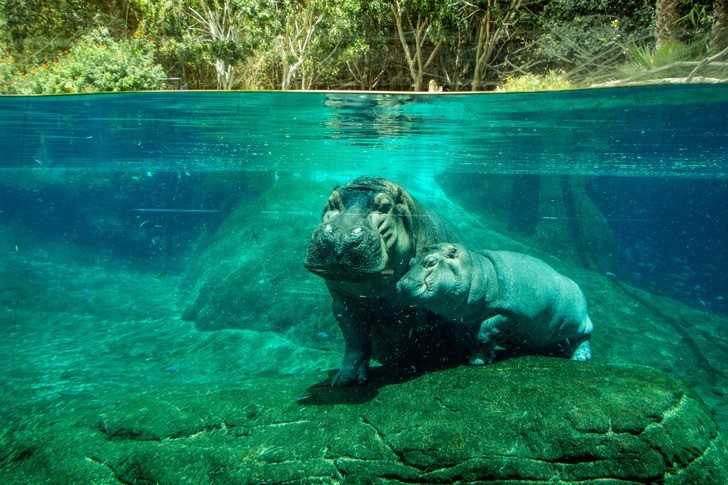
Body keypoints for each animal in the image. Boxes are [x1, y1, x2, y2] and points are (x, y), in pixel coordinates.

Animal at [304, 176, 464, 384]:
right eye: (332, 202)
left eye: (385, 206)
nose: (341, 236)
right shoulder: (342, 303)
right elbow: (355, 341)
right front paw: (345, 379)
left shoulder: (421, 308)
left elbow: (418, 333)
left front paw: (414, 366)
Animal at [396, 244, 596, 362]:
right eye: (411, 261)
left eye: (431, 262)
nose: (401, 284)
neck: (478, 271)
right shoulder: (466, 320)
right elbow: (475, 336)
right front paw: (480, 357)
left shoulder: (513, 314)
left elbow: (485, 330)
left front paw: (479, 358)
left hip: (575, 321)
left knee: (585, 333)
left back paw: (580, 357)